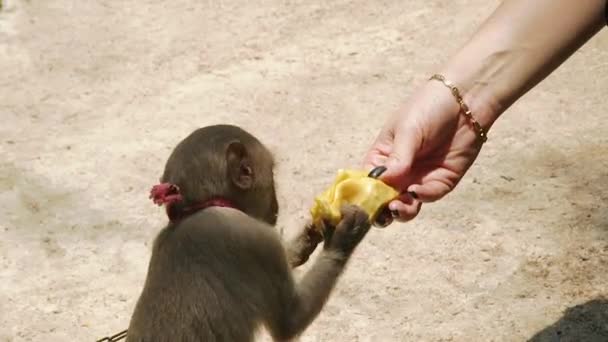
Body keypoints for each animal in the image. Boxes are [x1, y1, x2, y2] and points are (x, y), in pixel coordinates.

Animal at [126, 125, 372, 342]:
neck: (200, 208)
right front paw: (344, 237)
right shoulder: (255, 238)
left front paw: (307, 237)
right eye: (271, 174)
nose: (275, 206)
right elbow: (289, 321)